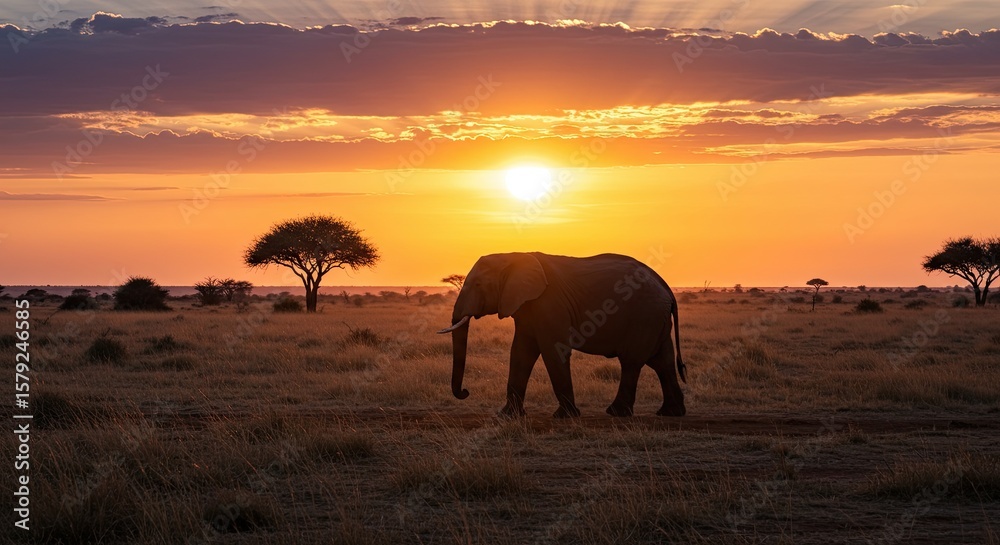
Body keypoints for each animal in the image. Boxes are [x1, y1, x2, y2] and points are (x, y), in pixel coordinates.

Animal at [438, 252, 687, 418]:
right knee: (662, 362)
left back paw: (616, 413)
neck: (513, 256)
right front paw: (507, 415)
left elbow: (553, 351)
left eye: (478, 285)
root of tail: (666, 288)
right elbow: (520, 354)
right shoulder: (527, 306)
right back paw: (671, 413)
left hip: (645, 316)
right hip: (655, 319)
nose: (465, 392)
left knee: (632, 362)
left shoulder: (549, 303)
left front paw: (565, 416)